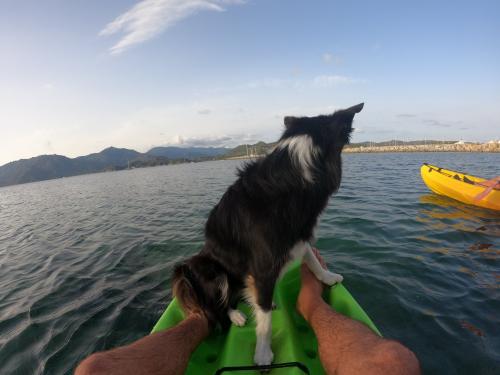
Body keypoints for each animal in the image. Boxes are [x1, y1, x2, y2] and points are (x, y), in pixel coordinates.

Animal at [172, 101, 364, 366]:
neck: (296, 172)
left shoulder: (297, 236)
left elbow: (310, 257)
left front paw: (327, 276)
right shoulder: (263, 267)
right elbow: (264, 322)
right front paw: (263, 352)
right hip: (211, 269)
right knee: (218, 306)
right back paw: (236, 315)